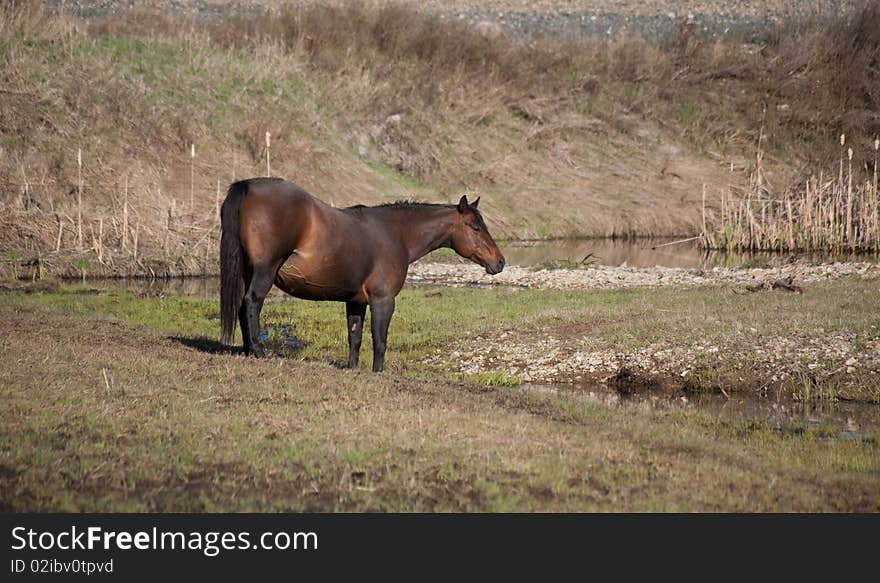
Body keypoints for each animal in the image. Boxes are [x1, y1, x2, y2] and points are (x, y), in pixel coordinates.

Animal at [219, 176, 506, 372]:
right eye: (475, 227)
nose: (500, 262)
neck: (396, 234)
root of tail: (248, 186)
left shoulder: (355, 301)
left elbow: (354, 337)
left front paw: (353, 368)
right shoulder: (383, 300)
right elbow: (379, 340)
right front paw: (378, 372)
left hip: (247, 272)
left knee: (242, 307)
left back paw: (248, 350)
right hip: (264, 271)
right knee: (251, 304)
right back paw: (258, 351)